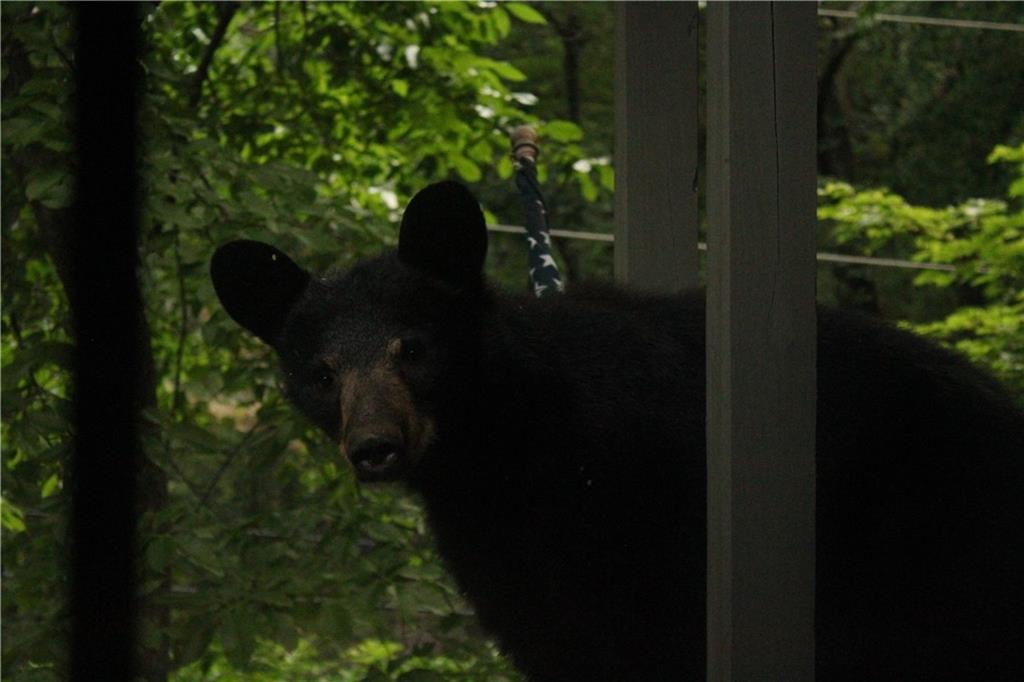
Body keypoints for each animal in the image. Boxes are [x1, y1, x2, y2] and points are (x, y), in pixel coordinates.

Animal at [209, 182, 1024, 679]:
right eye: (321, 373)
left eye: (412, 346)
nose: (374, 448)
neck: (506, 453)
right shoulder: (507, 565)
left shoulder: (649, 524)